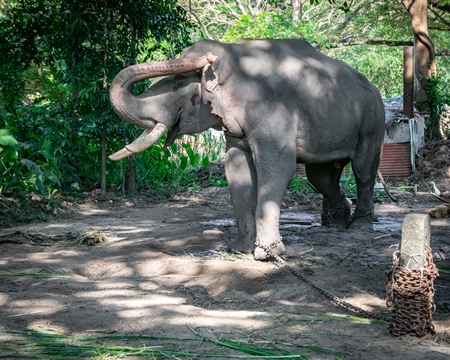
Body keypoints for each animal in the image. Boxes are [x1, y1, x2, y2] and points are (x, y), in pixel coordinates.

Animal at [107, 38, 384, 258]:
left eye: (177, 86)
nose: (208, 56)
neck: (236, 55)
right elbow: (237, 171)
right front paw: (238, 250)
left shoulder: (275, 110)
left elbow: (277, 170)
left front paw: (267, 254)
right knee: (321, 177)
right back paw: (338, 223)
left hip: (372, 120)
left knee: (363, 170)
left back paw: (359, 227)